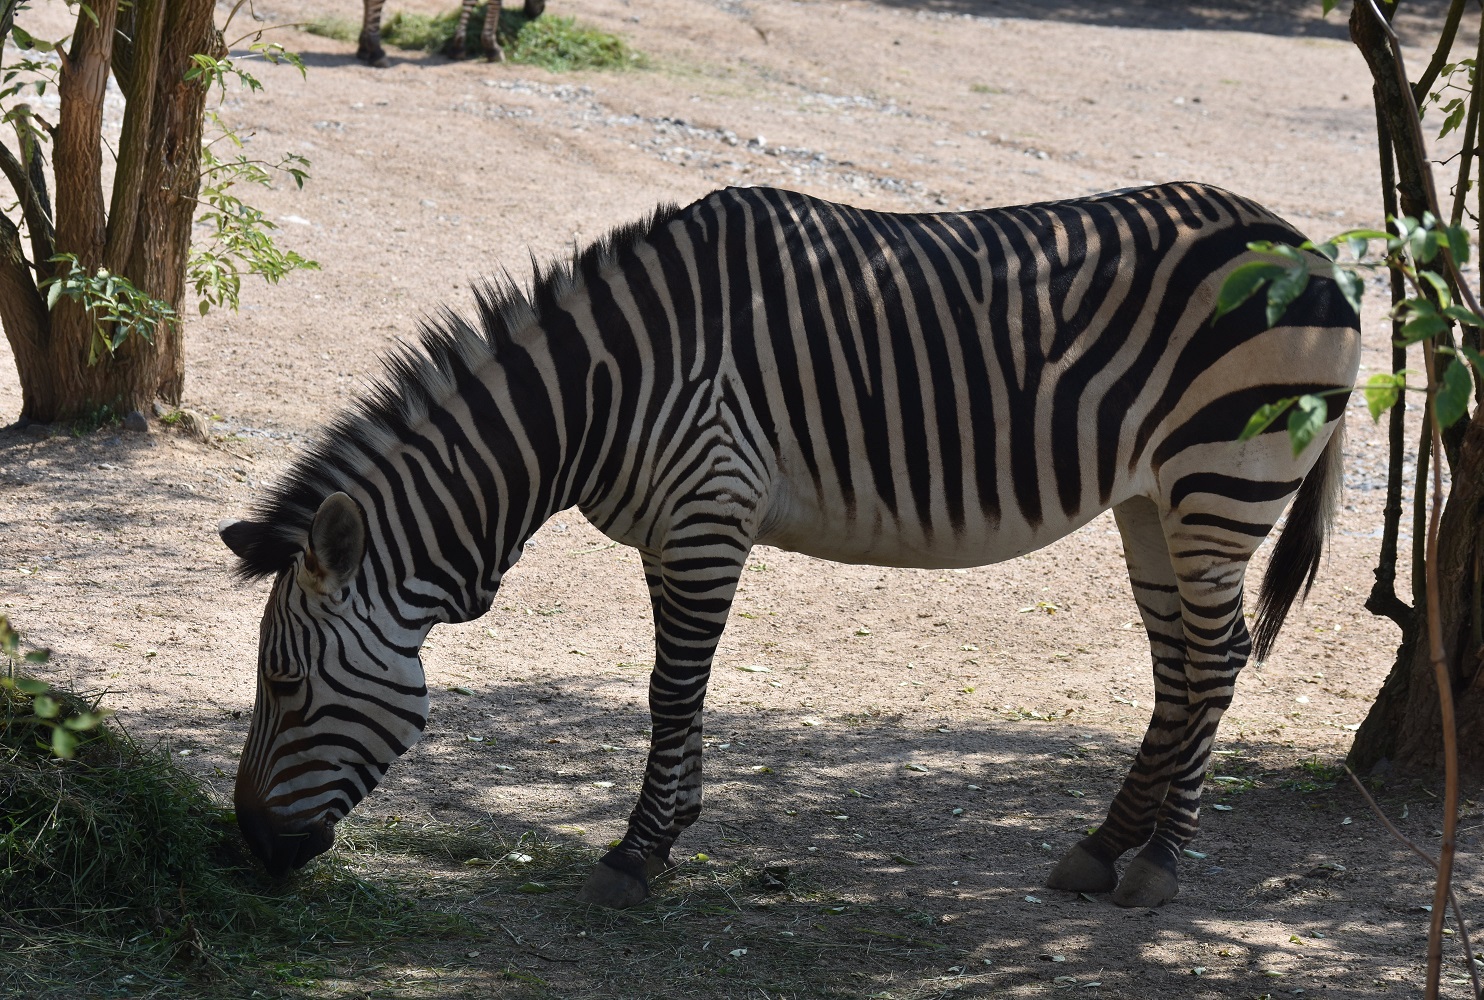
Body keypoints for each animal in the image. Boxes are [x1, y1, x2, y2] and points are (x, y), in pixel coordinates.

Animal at [219, 182, 1360, 909]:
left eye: (285, 687)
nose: (250, 849)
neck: (599, 393)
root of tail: (1304, 245)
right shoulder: (676, 529)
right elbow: (683, 686)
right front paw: (674, 830)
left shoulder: (708, 509)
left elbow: (670, 688)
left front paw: (635, 854)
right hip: (1153, 500)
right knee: (1179, 670)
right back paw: (1100, 847)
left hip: (1220, 481)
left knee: (1216, 661)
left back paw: (1160, 863)